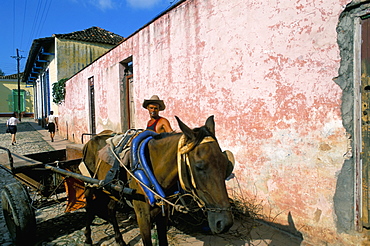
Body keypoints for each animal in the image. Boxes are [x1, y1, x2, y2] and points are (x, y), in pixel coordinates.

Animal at [82, 117, 233, 246]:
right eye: (199, 166)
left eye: (226, 164)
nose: (225, 223)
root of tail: (91, 140)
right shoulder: (142, 216)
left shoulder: (162, 213)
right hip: (91, 184)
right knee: (89, 207)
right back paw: (88, 238)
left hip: (112, 189)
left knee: (110, 209)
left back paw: (119, 239)